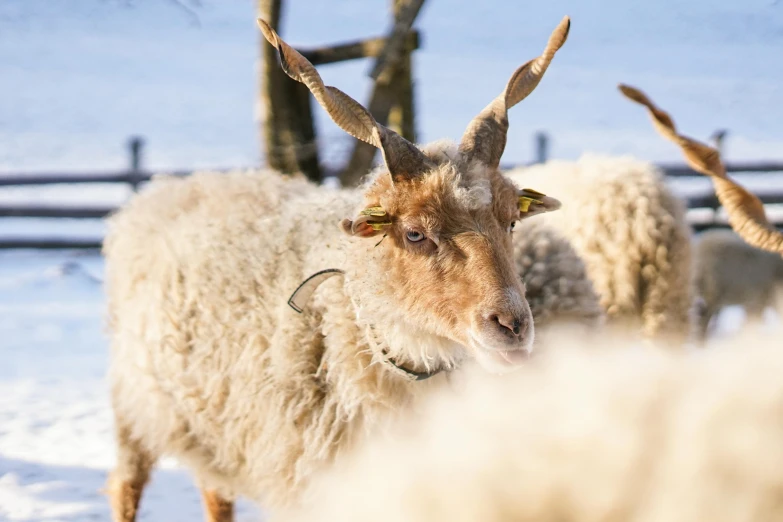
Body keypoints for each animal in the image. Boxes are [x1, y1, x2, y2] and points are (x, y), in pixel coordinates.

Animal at [102, 16, 568, 520]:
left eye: (512, 221)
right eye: (414, 233)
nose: (512, 325)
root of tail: (169, 187)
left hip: (214, 424)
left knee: (215, 492)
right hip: (133, 406)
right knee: (126, 486)